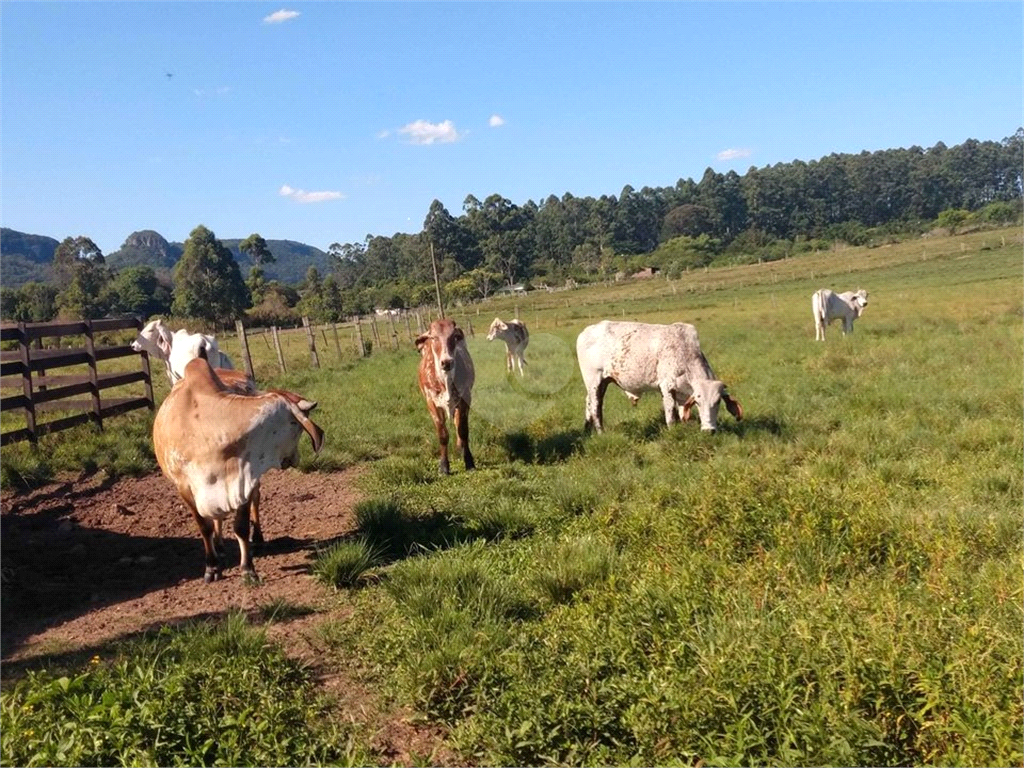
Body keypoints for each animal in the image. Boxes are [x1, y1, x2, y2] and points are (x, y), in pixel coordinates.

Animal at [415, 319, 475, 475]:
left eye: (454, 336)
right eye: (434, 337)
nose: (447, 362)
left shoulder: (465, 398)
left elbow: (463, 430)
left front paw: (469, 461)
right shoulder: (432, 403)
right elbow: (443, 435)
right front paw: (444, 467)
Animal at [577, 319, 745, 436]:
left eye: (717, 402)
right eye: (698, 402)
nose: (709, 430)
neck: (685, 353)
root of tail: (586, 331)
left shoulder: (683, 395)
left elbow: (683, 415)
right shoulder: (667, 388)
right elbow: (671, 418)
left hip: (601, 383)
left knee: (588, 402)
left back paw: (587, 430)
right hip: (594, 380)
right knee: (596, 407)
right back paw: (600, 432)